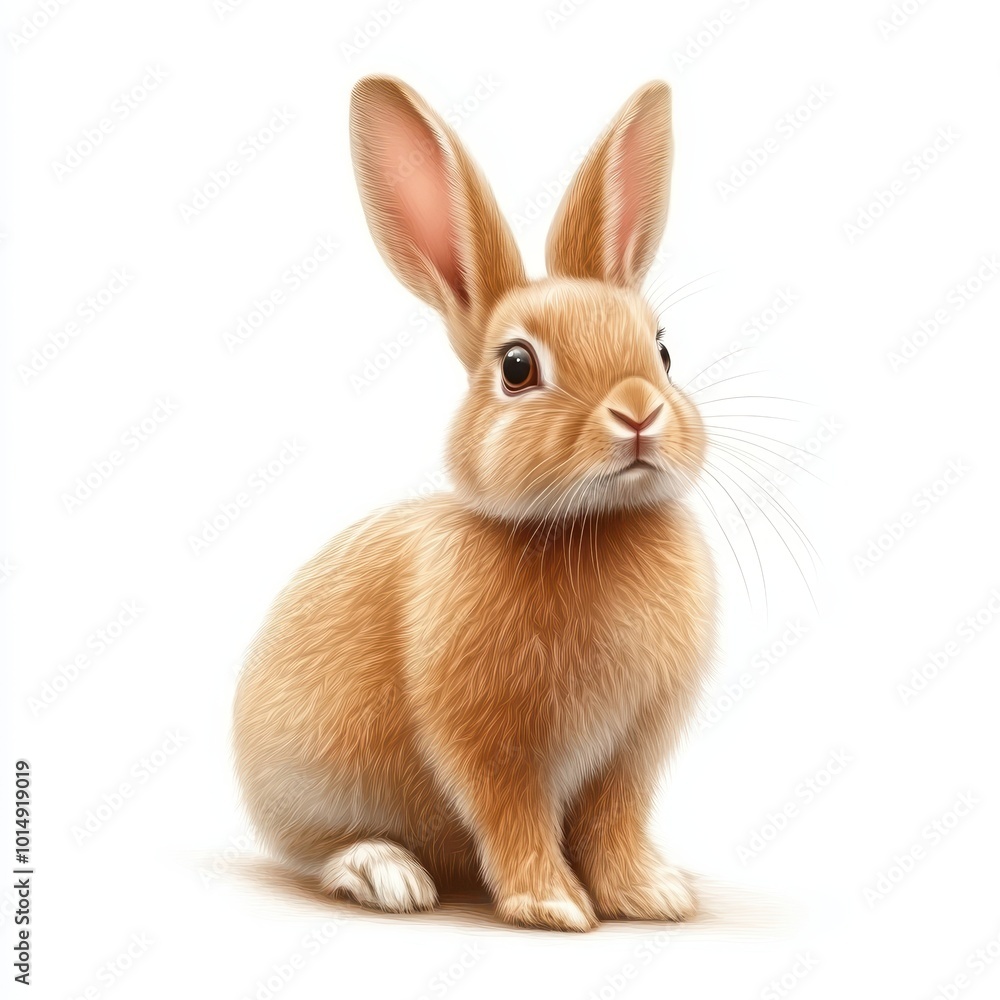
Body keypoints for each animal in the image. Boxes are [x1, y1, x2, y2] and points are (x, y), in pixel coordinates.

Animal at [233, 75, 715, 932]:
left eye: (662, 350)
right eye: (517, 366)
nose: (638, 411)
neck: (586, 526)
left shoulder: (629, 753)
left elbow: (616, 821)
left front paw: (651, 895)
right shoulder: (489, 742)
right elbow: (512, 814)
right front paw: (552, 905)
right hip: (311, 783)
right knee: (319, 848)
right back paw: (387, 873)